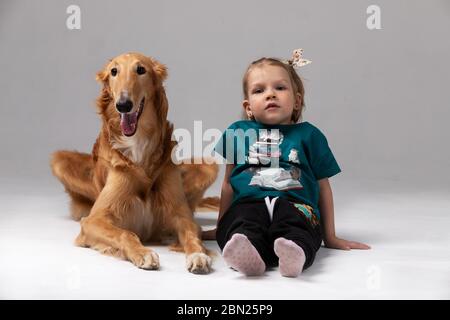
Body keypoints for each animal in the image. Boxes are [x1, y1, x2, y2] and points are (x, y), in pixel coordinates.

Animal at [51, 52, 220, 272]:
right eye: (114, 71)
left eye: (141, 70)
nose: (123, 105)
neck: (138, 143)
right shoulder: (93, 221)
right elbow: (125, 233)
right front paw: (143, 253)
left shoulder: (182, 215)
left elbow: (192, 235)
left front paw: (198, 255)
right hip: (59, 160)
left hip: (209, 166)